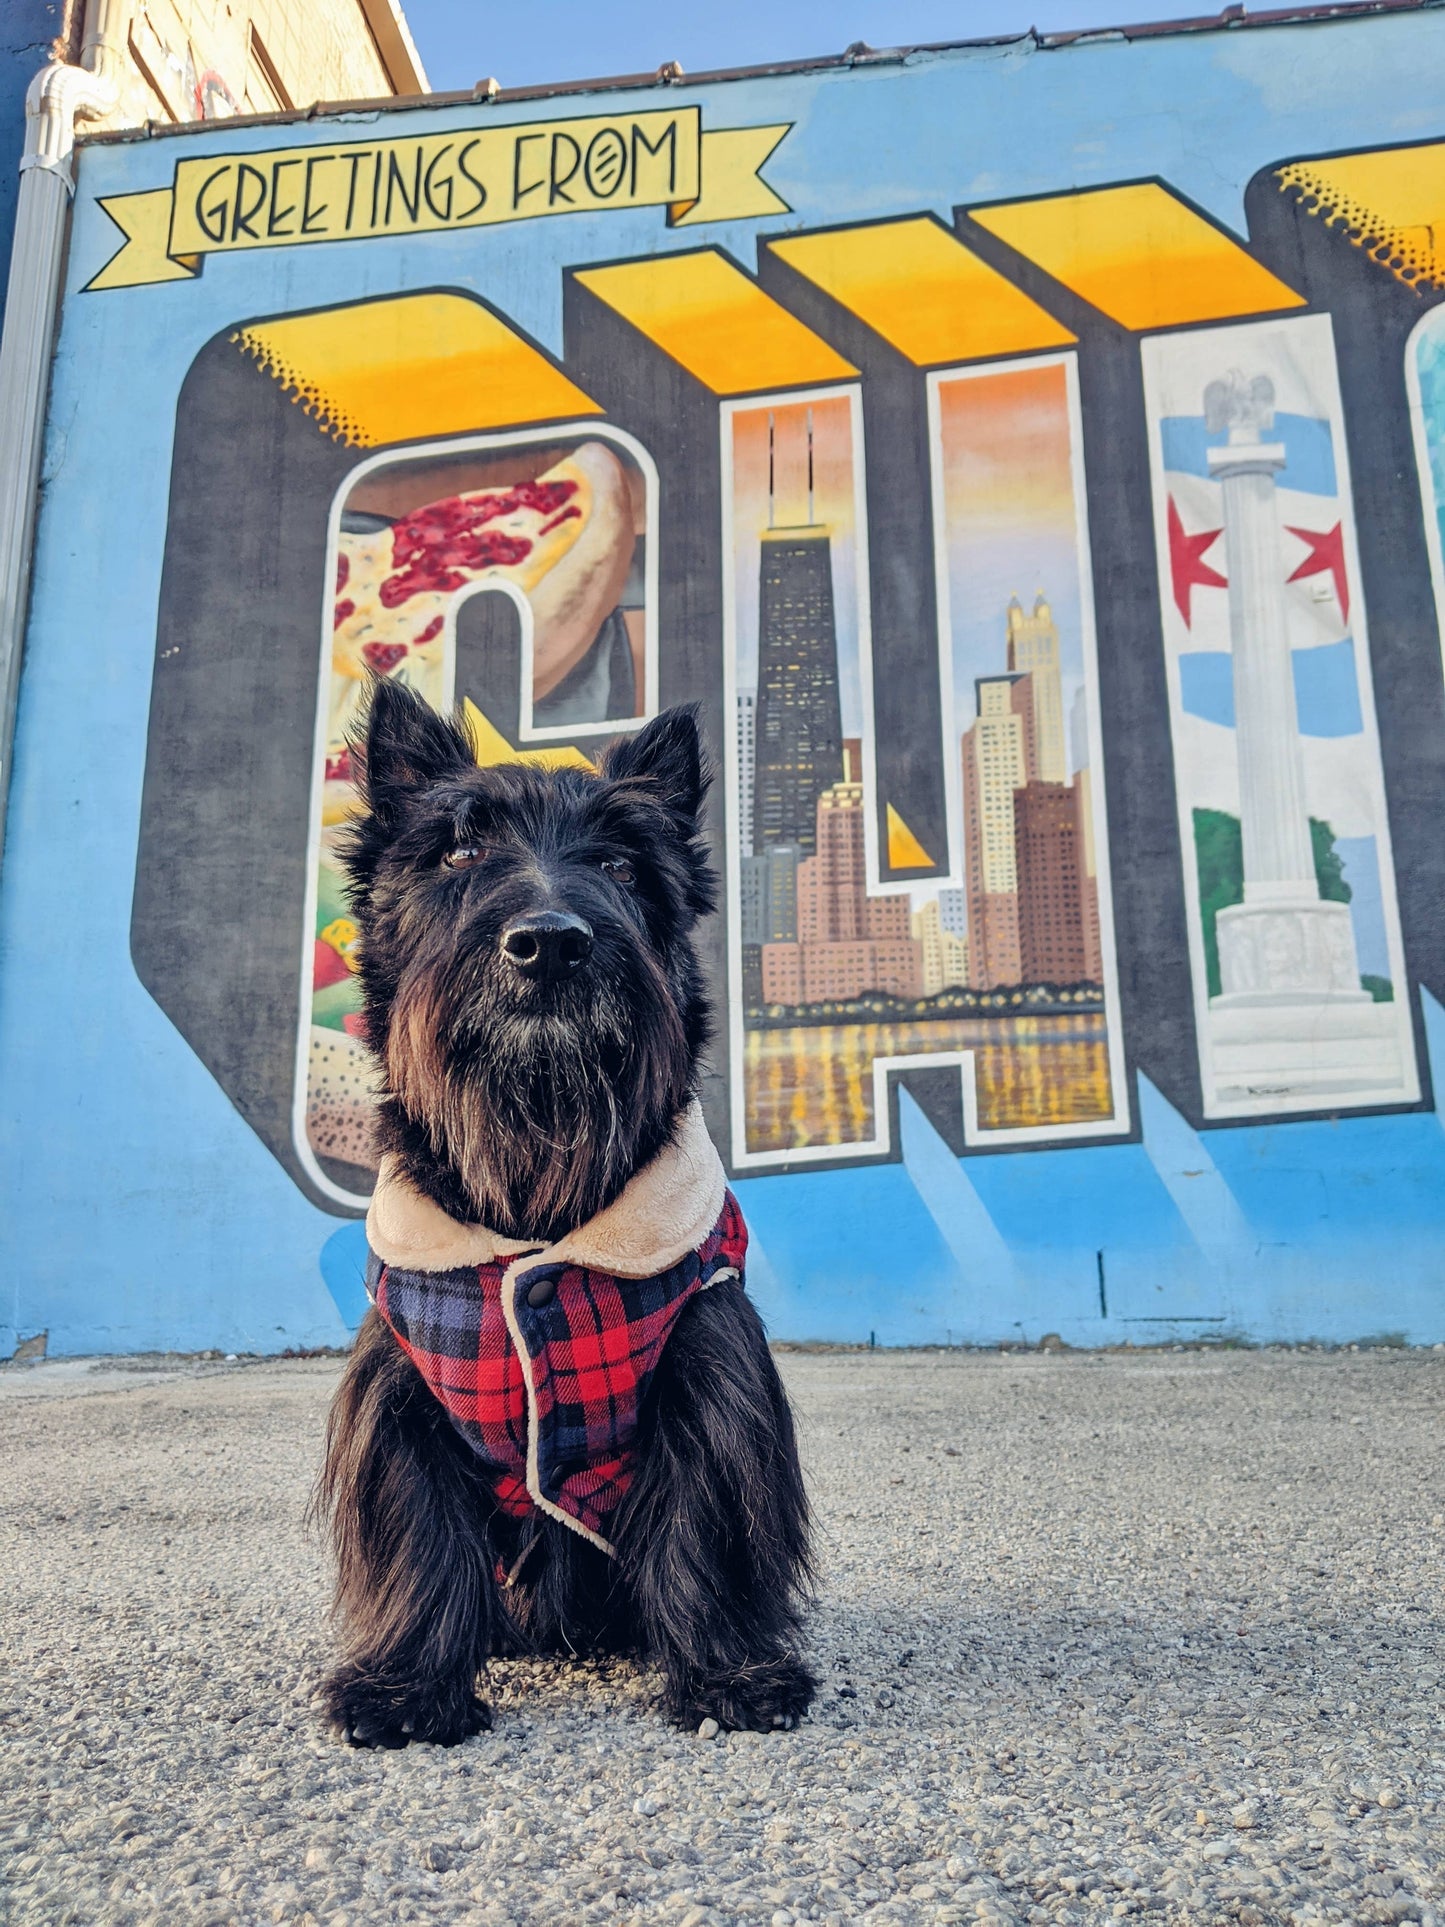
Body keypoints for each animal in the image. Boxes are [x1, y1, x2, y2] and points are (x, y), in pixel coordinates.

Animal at [314, 678, 816, 1749]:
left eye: (622, 863)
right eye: (458, 851)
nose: (549, 943)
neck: (537, 1203)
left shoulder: (706, 1360)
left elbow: (704, 1519)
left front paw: (728, 1673)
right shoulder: (403, 1386)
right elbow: (418, 1528)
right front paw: (406, 1687)